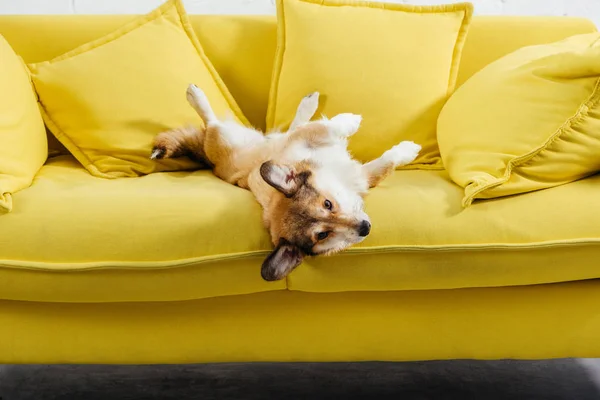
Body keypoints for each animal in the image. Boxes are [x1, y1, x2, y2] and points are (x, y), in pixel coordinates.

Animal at [150, 83, 422, 282]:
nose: (365, 227)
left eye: (327, 204)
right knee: (211, 123)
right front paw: (355, 123)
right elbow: (331, 129)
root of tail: (212, 162)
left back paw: (309, 103)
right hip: (225, 138)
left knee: (291, 125)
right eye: (322, 235)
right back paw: (196, 96)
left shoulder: (323, 153)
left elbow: (334, 131)